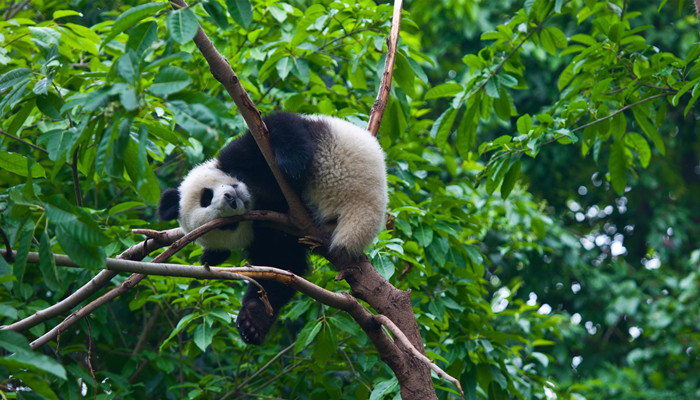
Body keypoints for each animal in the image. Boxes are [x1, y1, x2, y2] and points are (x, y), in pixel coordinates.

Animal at [159, 111, 388, 344]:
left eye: (205, 197)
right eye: (227, 226)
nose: (231, 200)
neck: (256, 194)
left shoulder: (242, 154)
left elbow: (277, 126)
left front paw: (291, 163)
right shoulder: (268, 234)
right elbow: (281, 266)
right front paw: (251, 322)